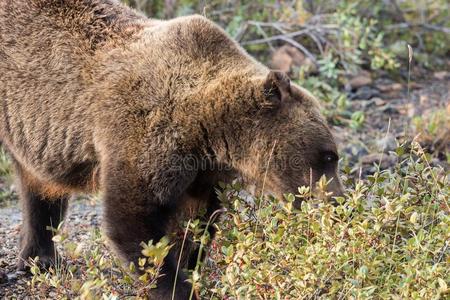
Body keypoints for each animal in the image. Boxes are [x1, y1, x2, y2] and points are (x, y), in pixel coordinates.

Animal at [0, 0, 342, 298]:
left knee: (38, 188)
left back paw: (38, 259)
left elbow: (195, 224)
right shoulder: (142, 134)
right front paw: (175, 287)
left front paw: (189, 268)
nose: (339, 204)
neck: (208, 128)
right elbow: (132, 220)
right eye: (329, 155)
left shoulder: (201, 173)